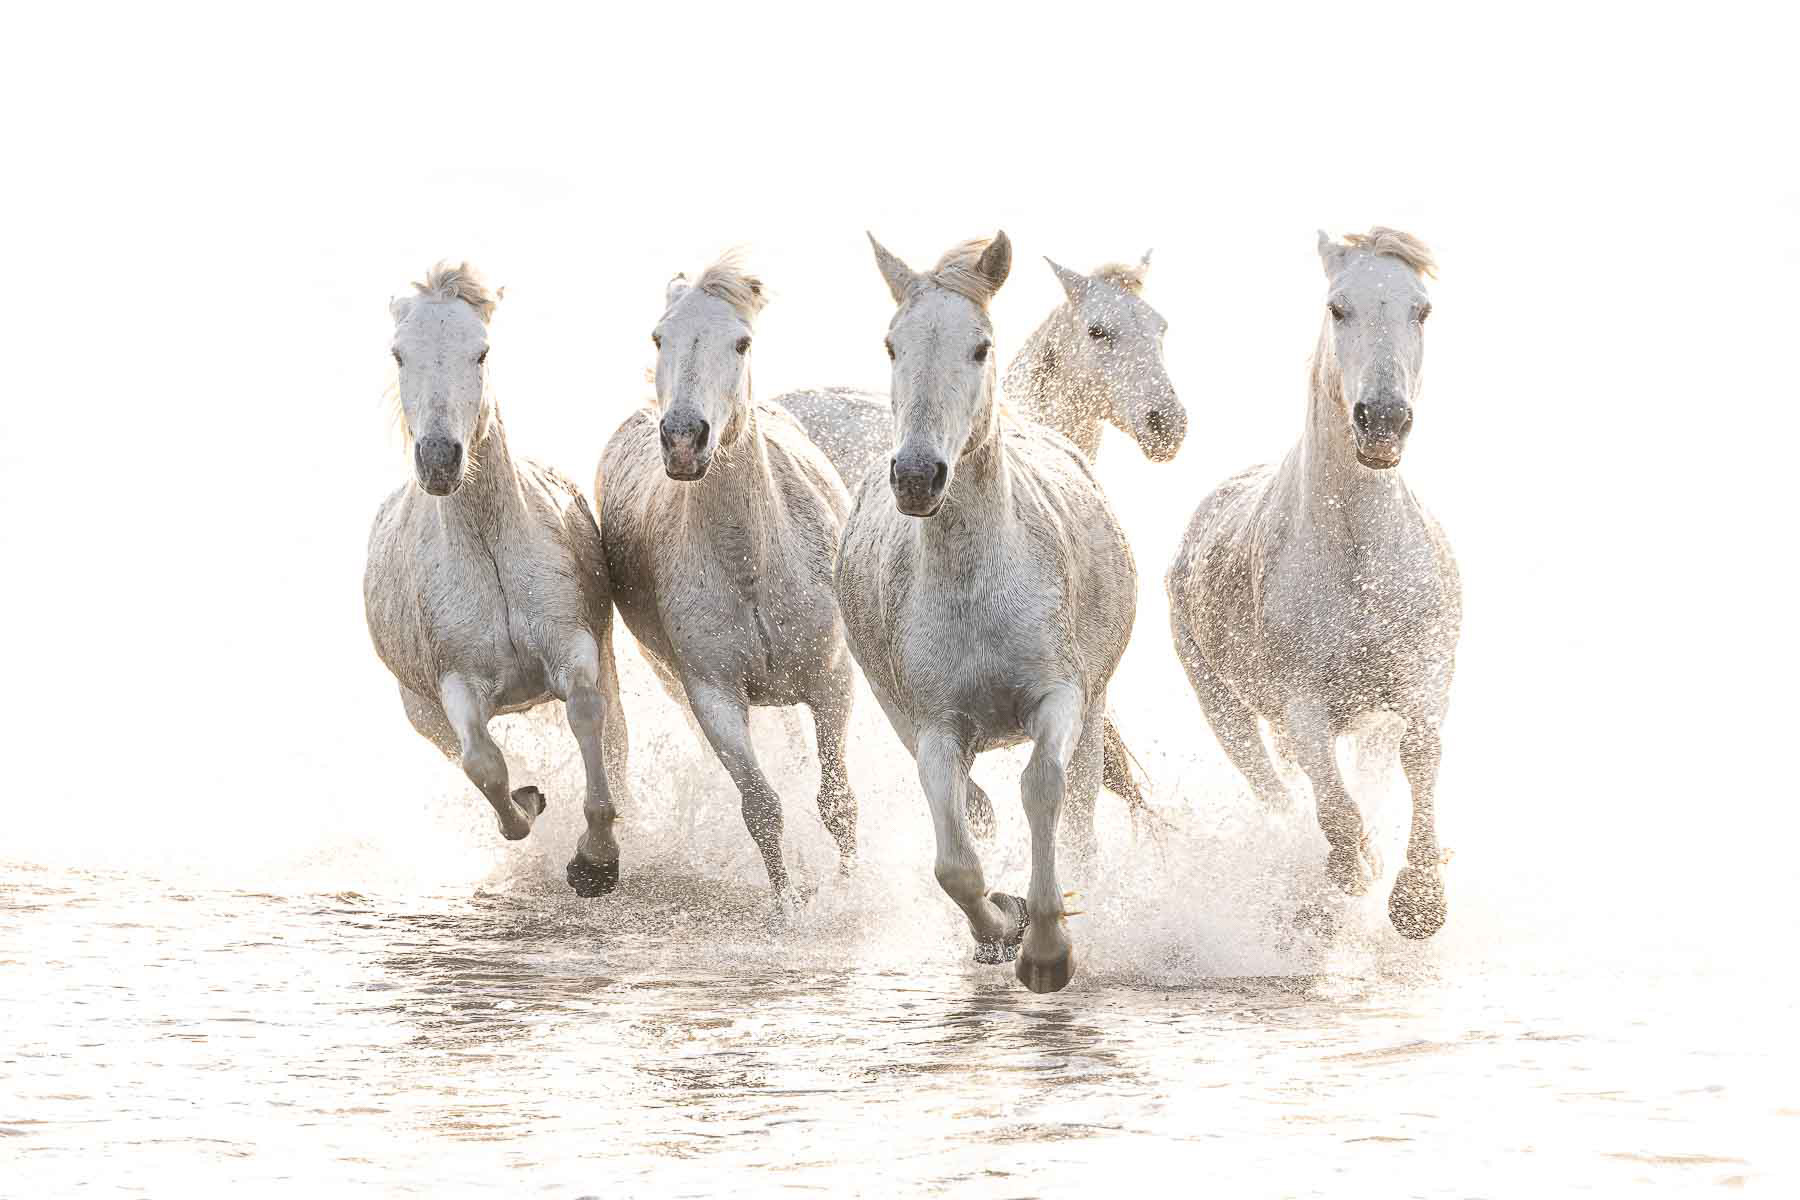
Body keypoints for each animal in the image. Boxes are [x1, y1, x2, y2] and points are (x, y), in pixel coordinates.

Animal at [363, 261, 632, 897]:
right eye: (399, 354)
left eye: (481, 351)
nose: (440, 458)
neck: (490, 551)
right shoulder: (458, 684)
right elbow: (483, 764)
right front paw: (529, 806)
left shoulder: (574, 648)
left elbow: (587, 715)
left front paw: (595, 862)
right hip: (420, 709)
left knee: (614, 743)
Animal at [597, 255, 858, 904]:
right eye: (659, 337)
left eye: (742, 342)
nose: (683, 440)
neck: (753, 566)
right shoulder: (712, 695)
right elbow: (761, 805)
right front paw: (790, 906)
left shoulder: (832, 679)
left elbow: (837, 800)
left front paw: (852, 890)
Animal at [834, 232, 1137, 992]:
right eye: (892, 344)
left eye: (979, 346)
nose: (917, 476)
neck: (976, 583)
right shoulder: (937, 727)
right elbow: (955, 860)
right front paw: (1003, 927)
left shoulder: (1061, 696)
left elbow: (1043, 789)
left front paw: (1049, 949)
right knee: (977, 812)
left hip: (1097, 703)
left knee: (1079, 812)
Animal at [1165, 228, 1462, 939]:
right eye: (1337, 308)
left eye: (1422, 309)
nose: (1382, 420)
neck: (1360, 561)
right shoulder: (1303, 705)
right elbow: (1333, 805)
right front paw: (1354, 870)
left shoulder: (1424, 680)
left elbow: (1421, 755)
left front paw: (1419, 900)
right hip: (1225, 707)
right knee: (1277, 790)